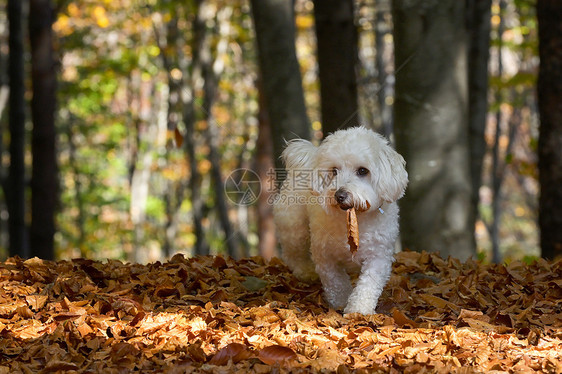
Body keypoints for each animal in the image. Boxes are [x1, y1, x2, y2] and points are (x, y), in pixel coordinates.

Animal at [272, 126, 406, 316]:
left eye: (363, 171)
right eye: (334, 170)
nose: (339, 195)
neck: (354, 219)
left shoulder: (378, 256)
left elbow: (368, 284)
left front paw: (359, 310)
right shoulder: (325, 256)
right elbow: (336, 282)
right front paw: (341, 303)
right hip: (294, 227)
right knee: (293, 254)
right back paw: (305, 271)